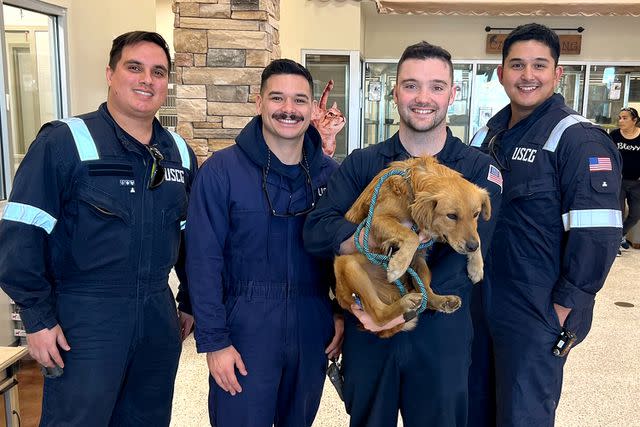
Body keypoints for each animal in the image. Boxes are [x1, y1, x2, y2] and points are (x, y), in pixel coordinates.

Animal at [336, 156, 490, 338]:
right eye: (452, 216)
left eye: (476, 214)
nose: (472, 247)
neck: (411, 188)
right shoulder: (376, 220)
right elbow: (412, 236)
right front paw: (397, 266)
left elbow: (477, 235)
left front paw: (476, 267)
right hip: (348, 264)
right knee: (378, 314)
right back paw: (406, 302)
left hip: (420, 263)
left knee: (427, 295)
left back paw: (443, 301)